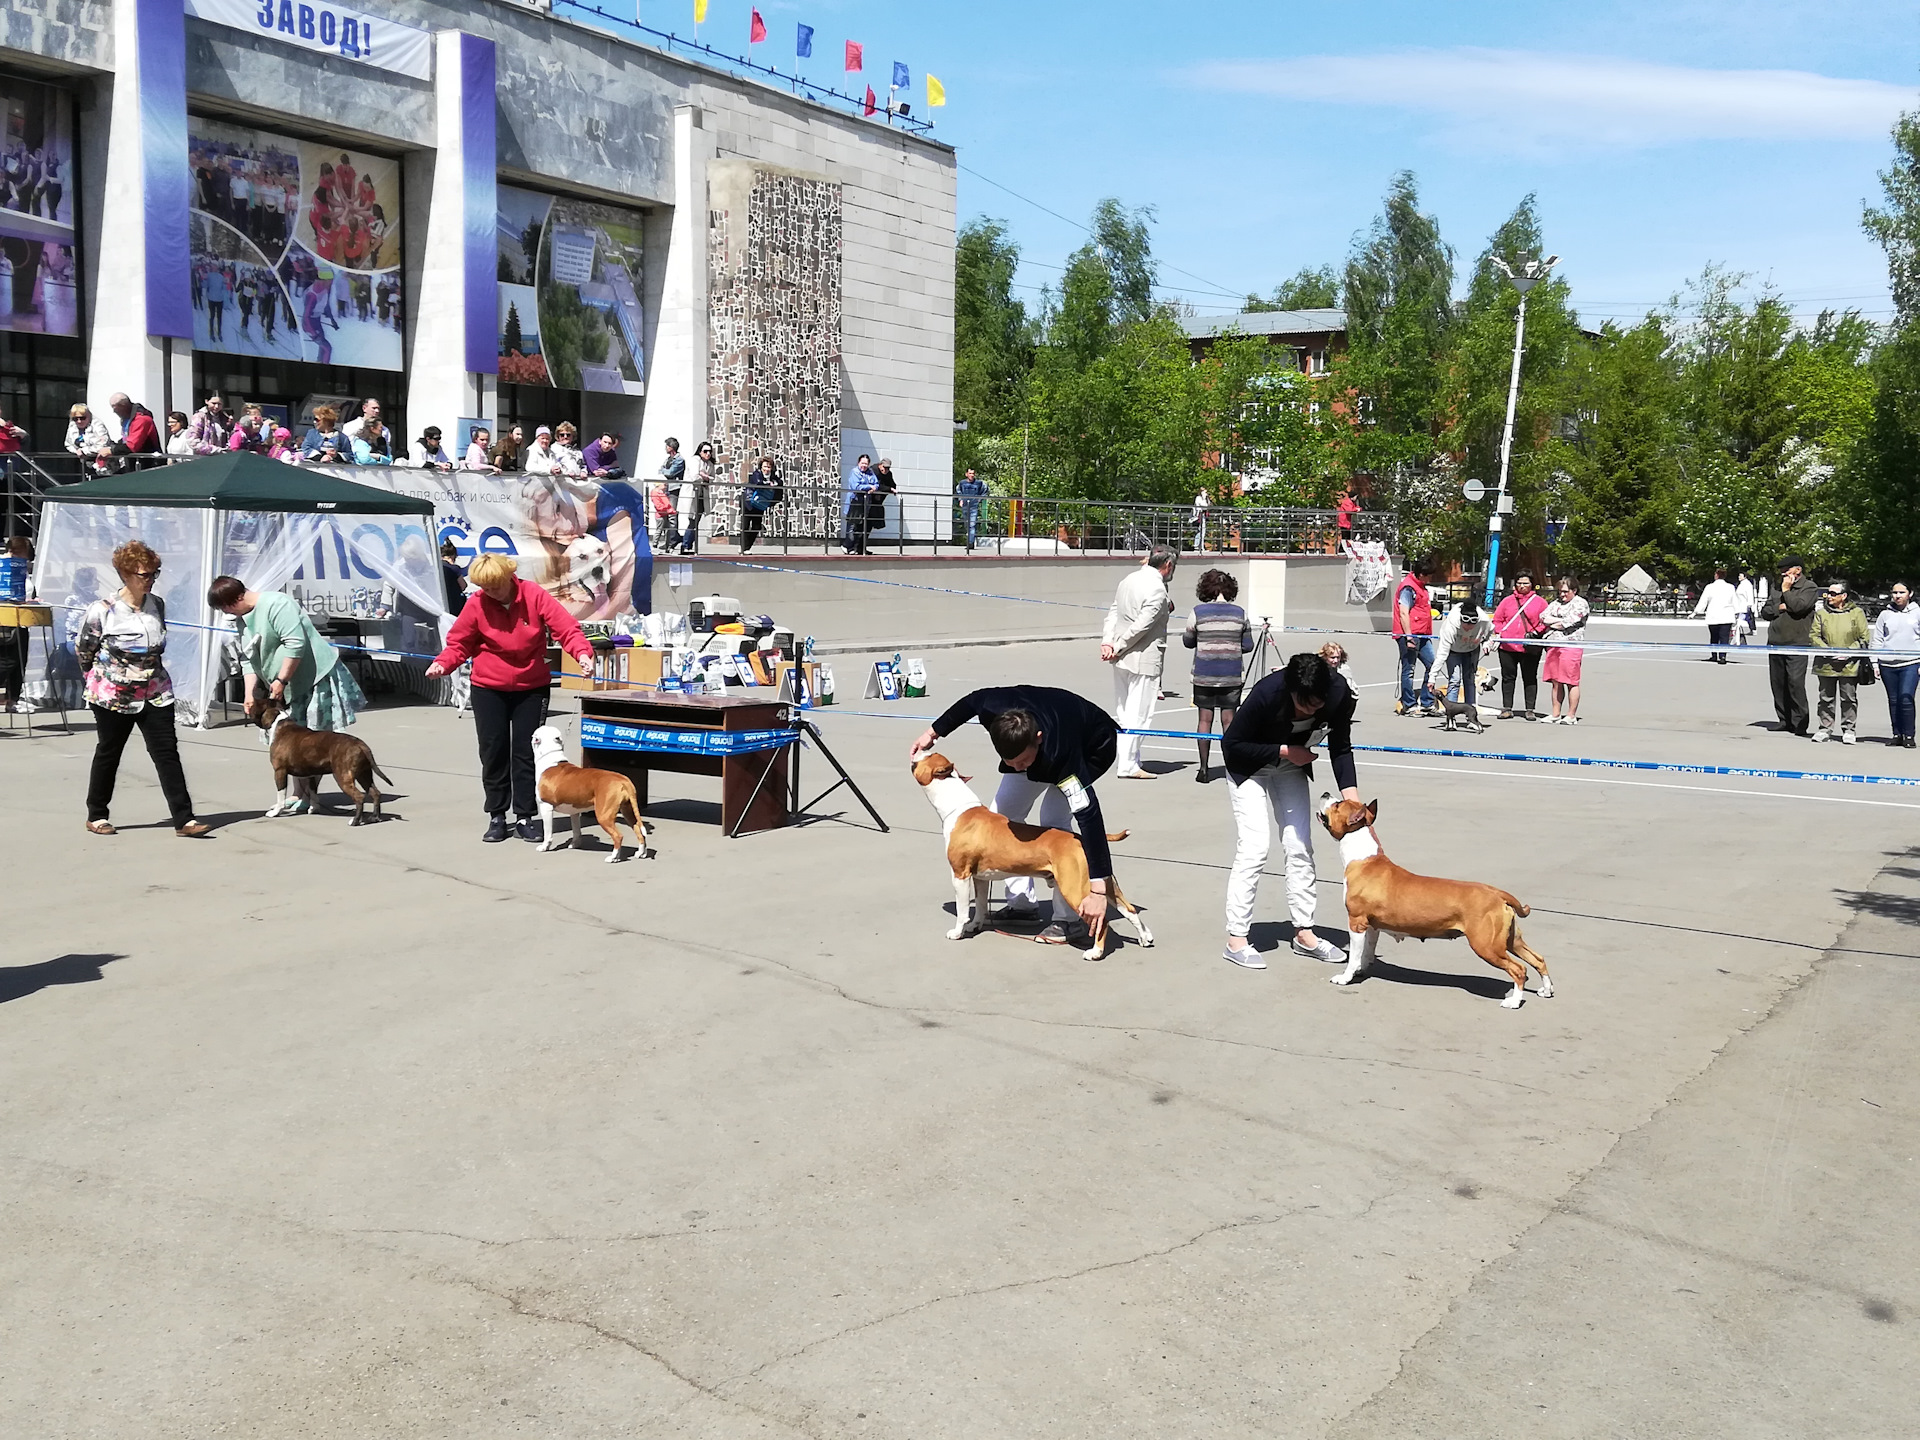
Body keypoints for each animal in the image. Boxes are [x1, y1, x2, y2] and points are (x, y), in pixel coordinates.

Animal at [529, 725, 656, 864]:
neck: (550, 756)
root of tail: (623, 780)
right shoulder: (574, 811)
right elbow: (576, 830)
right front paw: (575, 844)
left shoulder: (545, 806)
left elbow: (548, 832)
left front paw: (544, 847)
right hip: (628, 810)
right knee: (639, 830)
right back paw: (641, 853)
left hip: (603, 815)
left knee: (618, 836)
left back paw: (613, 857)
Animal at [913, 756, 1152, 960]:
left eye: (924, 757)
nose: (915, 752)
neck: (957, 806)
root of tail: (1080, 837)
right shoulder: (980, 878)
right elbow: (980, 906)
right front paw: (975, 926)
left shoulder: (960, 875)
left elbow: (962, 910)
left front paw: (958, 932)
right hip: (1104, 884)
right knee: (1129, 909)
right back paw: (1145, 937)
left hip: (1074, 888)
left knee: (1102, 921)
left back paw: (1095, 953)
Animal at [1313, 794, 1551, 1006]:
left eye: (1338, 804)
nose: (1325, 793)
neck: (1363, 857)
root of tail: (1497, 892)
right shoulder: (1372, 926)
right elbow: (1366, 952)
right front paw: (1361, 969)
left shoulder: (1356, 922)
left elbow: (1354, 955)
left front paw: (1346, 977)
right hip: (1510, 941)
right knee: (1537, 959)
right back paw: (1546, 990)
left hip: (1487, 946)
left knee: (1519, 970)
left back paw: (1514, 1001)